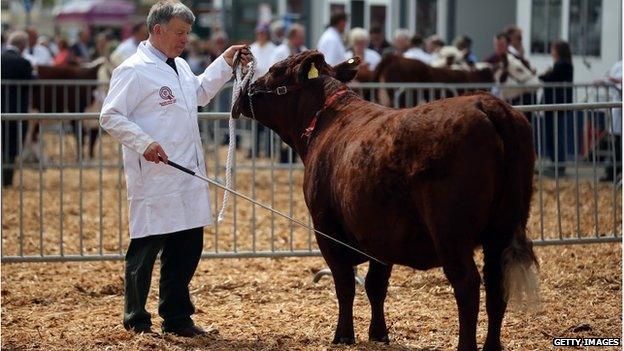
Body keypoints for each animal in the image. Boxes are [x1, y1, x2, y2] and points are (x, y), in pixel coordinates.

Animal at [232, 51, 540, 351]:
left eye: (275, 69)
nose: (248, 90)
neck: (325, 123)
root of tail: (487, 104)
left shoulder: (326, 227)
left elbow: (345, 283)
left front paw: (343, 335)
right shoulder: (380, 234)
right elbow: (375, 284)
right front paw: (379, 334)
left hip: (451, 231)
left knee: (467, 283)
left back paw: (466, 345)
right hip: (503, 226)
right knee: (496, 283)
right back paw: (492, 346)